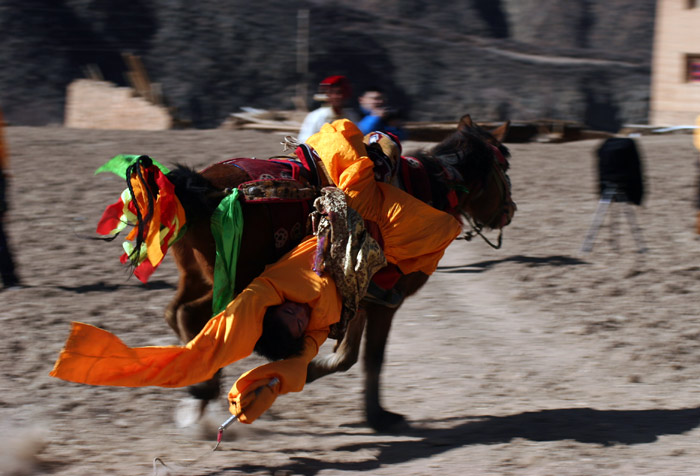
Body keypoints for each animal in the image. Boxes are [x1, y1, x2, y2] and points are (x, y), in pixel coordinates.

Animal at [112, 115, 516, 432]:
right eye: (505, 169)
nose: (509, 212)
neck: (429, 190)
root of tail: (204, 189)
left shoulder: (360, 296)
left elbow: (348, 356)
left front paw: (317, 375)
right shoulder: (388, 301)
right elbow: (370, 359)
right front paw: (378, 416)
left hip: (197, 275)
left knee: (175, 312)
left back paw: (197, 389)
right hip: (232, 280)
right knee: (192, 315)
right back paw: (204, 389)